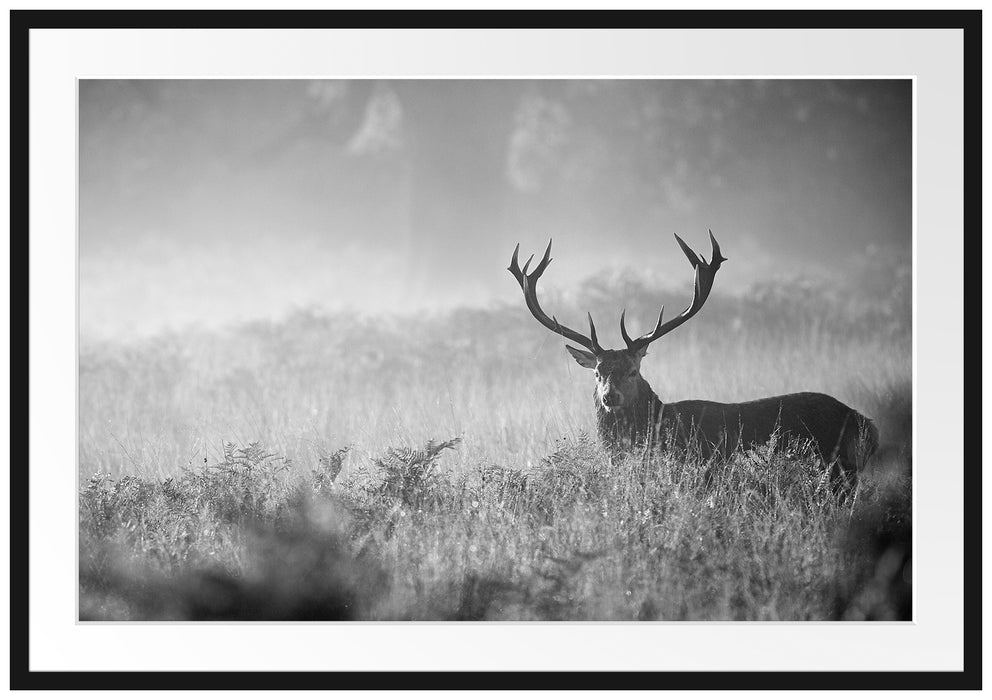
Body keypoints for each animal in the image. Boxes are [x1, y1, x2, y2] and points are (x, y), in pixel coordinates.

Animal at [508, 232, 878, 485]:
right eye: (598, 372)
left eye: (632, 370)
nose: (610, 397)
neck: (662, 426)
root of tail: (868, 424)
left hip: (836, 467)